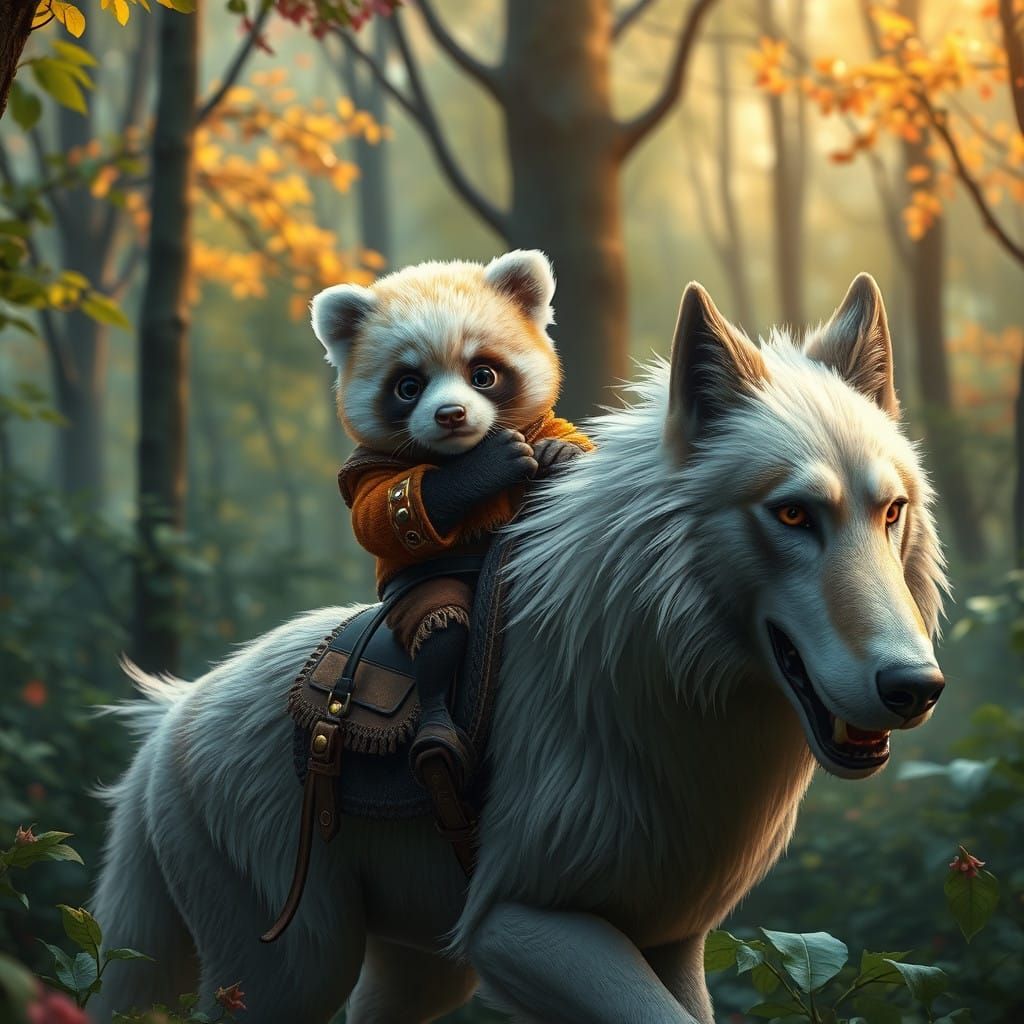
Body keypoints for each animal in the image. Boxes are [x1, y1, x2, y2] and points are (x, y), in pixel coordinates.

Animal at [90, 274, 946, 1024]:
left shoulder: (669, 940)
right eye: (794, 515)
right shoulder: (518, 922)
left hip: (419, 968)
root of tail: (168, 718)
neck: (640, 678)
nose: (916, 687)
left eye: (891, 511)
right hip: (294, 968)